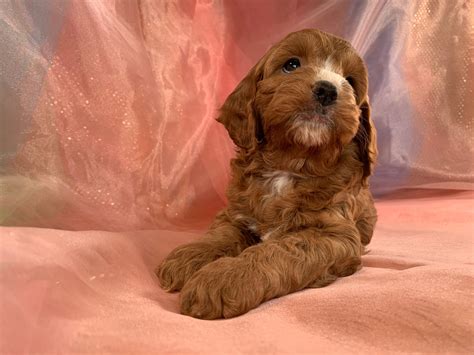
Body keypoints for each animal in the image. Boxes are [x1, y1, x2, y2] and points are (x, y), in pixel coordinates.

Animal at [156, 29, 378, 322]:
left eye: (350, 82)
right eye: (292, 65)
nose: (327, 90)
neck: (291, 164)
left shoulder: (336, 235)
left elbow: (279, 250)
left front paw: (223, 278)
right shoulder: (236, 214)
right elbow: (221, 235)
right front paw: (189, 256)